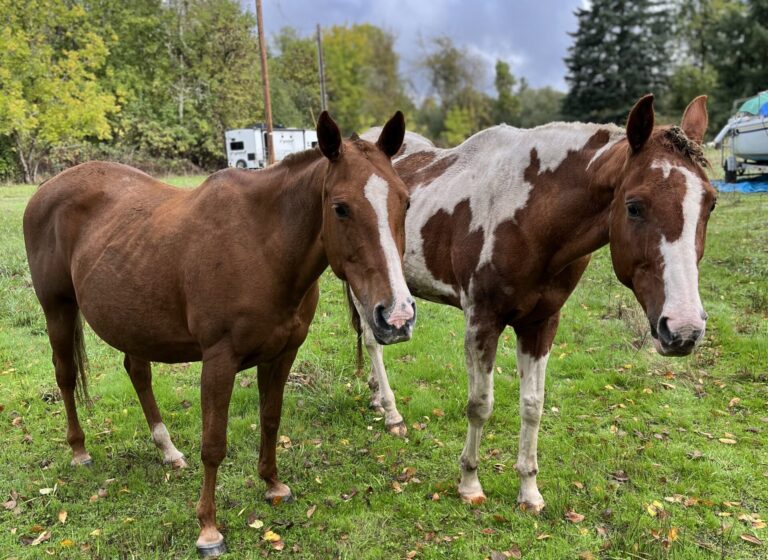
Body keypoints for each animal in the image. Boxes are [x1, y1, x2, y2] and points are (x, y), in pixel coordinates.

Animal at [24, 111, 416, 552]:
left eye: (405, 201)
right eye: (341, 208)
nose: (397, 316)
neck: (264, 245)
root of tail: (46, 190)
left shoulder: (283, 353)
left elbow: (270, 419)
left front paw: (273, 484)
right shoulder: (219, 359)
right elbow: (213, 445)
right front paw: (208, 529)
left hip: (132, 321)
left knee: (138, 374)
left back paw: (168, 451)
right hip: (57, 309)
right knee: (65, 376)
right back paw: (79, 450)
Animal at [352, 97, 716, 512]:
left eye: (710, 204)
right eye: (635, 206)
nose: (684, 329)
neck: (529, 217)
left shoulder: (541, 324)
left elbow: (532, 406)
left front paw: (528, 491)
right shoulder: (482, 322)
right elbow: (480, 404)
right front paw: (469, 483)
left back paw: (377, 400)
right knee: (372, 342)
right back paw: (392, 412)